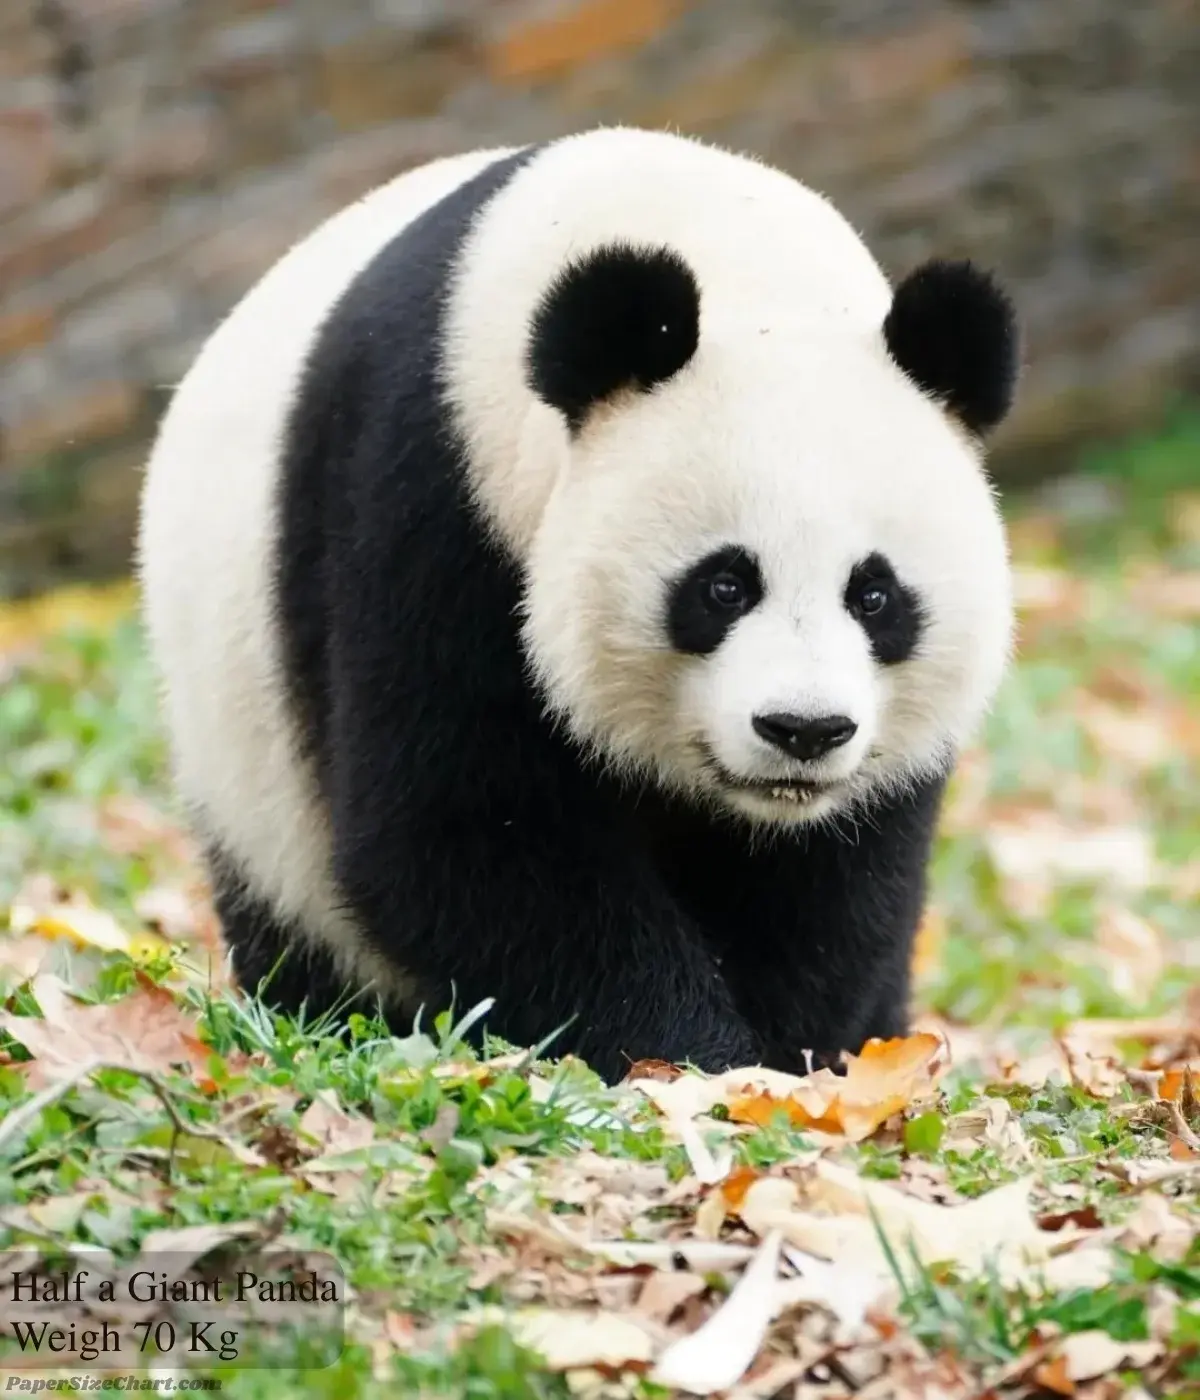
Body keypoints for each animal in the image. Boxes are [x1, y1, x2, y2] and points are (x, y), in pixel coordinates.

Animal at [138, 127, 1019, 1085]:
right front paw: (692, 1060)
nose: (803, 731)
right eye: (722, 585)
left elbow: (835, 881)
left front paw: (795, 1064)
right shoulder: (429, 498)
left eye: (875, 594)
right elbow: (466, 829)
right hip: (251, 776)